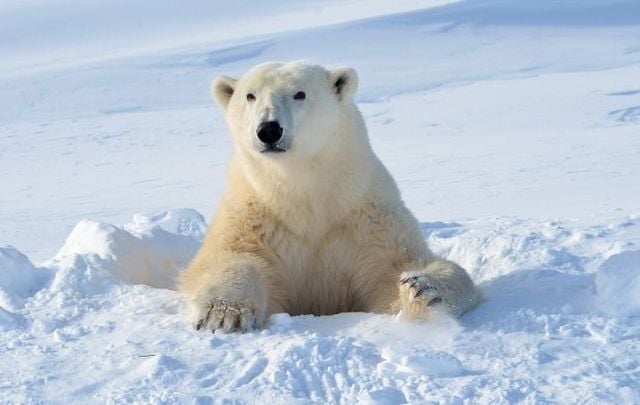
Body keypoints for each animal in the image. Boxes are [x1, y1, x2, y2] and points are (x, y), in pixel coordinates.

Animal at [179, 61, 480, 332]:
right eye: (250, 95)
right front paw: (222, 313)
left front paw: (423, 288)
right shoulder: (254, 214)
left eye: (299, 93)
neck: (304, 195)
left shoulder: (367, 217)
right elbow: (228, 257)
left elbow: (398, 267)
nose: (269, 129)